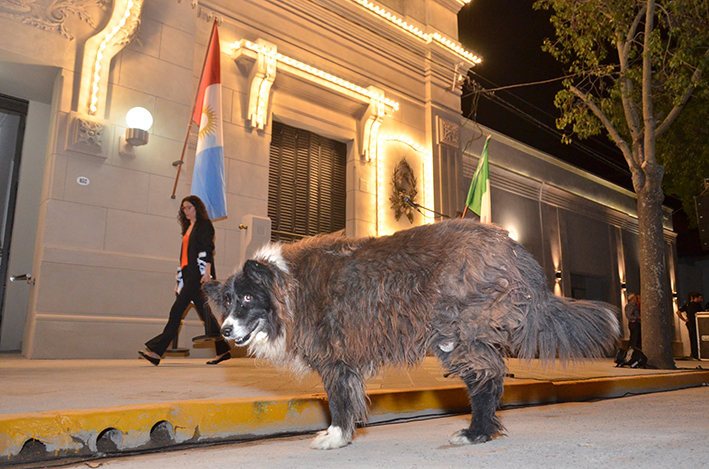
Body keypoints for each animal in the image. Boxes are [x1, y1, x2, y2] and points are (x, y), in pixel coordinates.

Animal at [202, 219, 616, 450]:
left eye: (249, 297)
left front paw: (335, 437)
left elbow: (338, 402)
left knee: (488, 377)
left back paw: (476, 433)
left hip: (455, 335)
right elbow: (348, 400)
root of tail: (511, 247)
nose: (225, 330)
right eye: (228, 301)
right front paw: (344, 436)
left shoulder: (334, 360)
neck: (288, 286)